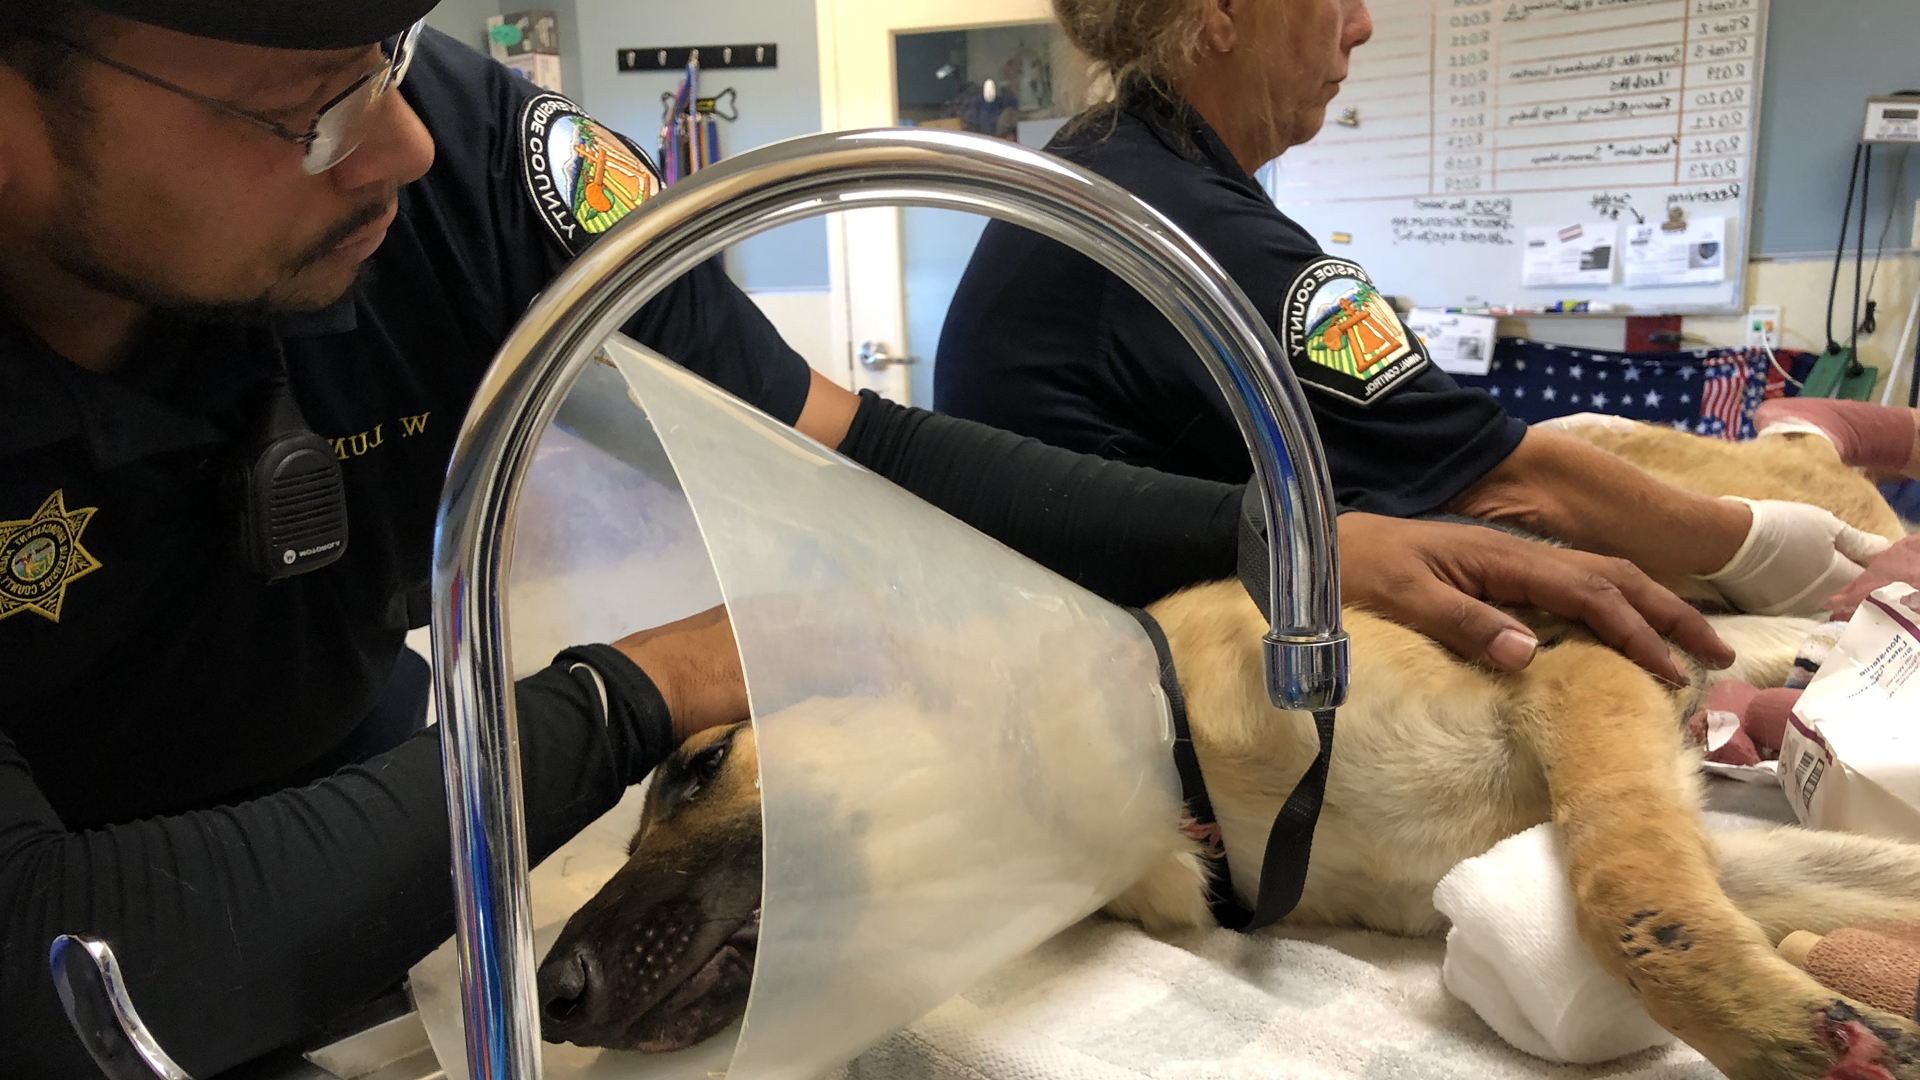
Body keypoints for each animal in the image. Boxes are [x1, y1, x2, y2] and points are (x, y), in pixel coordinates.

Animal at [537, 428, 1920, 1076]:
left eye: (699, 768)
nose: (548, 994)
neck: (1167, 751)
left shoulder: (1580, 677)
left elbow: (1629, 893)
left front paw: (1782, 1032)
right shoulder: (1693, 826)